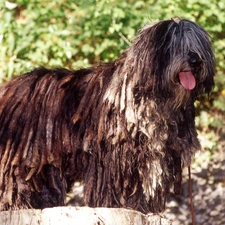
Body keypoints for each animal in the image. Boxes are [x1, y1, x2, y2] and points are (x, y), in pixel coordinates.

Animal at [0, 18, 214, 213]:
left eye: (197, 45)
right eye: (175, 44)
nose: (195, 61)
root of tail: (10, 87)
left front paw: (141, 207)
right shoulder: (114, 153)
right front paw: (116, 204)